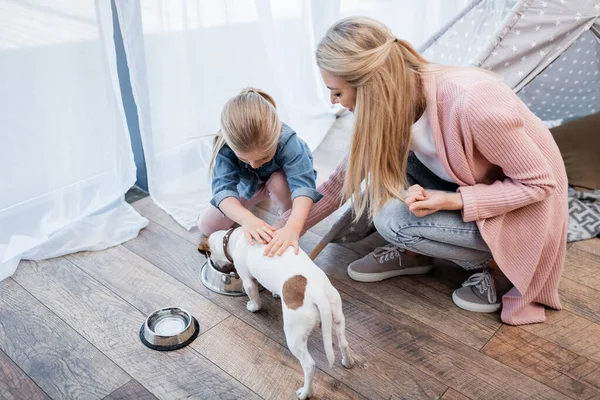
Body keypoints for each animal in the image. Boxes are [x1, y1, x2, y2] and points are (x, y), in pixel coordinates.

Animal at [199, 227, 354, 398]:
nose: (217, 266)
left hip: (295, 336)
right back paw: (348, 362)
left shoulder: (248, 281)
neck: (234, 238)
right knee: (343, 343)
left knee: (309, 365)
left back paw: (305, 393)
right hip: (337, 317)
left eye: (208, 255)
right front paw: (275, 294)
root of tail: (317, 293)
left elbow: (255, 298)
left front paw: (253, 307)